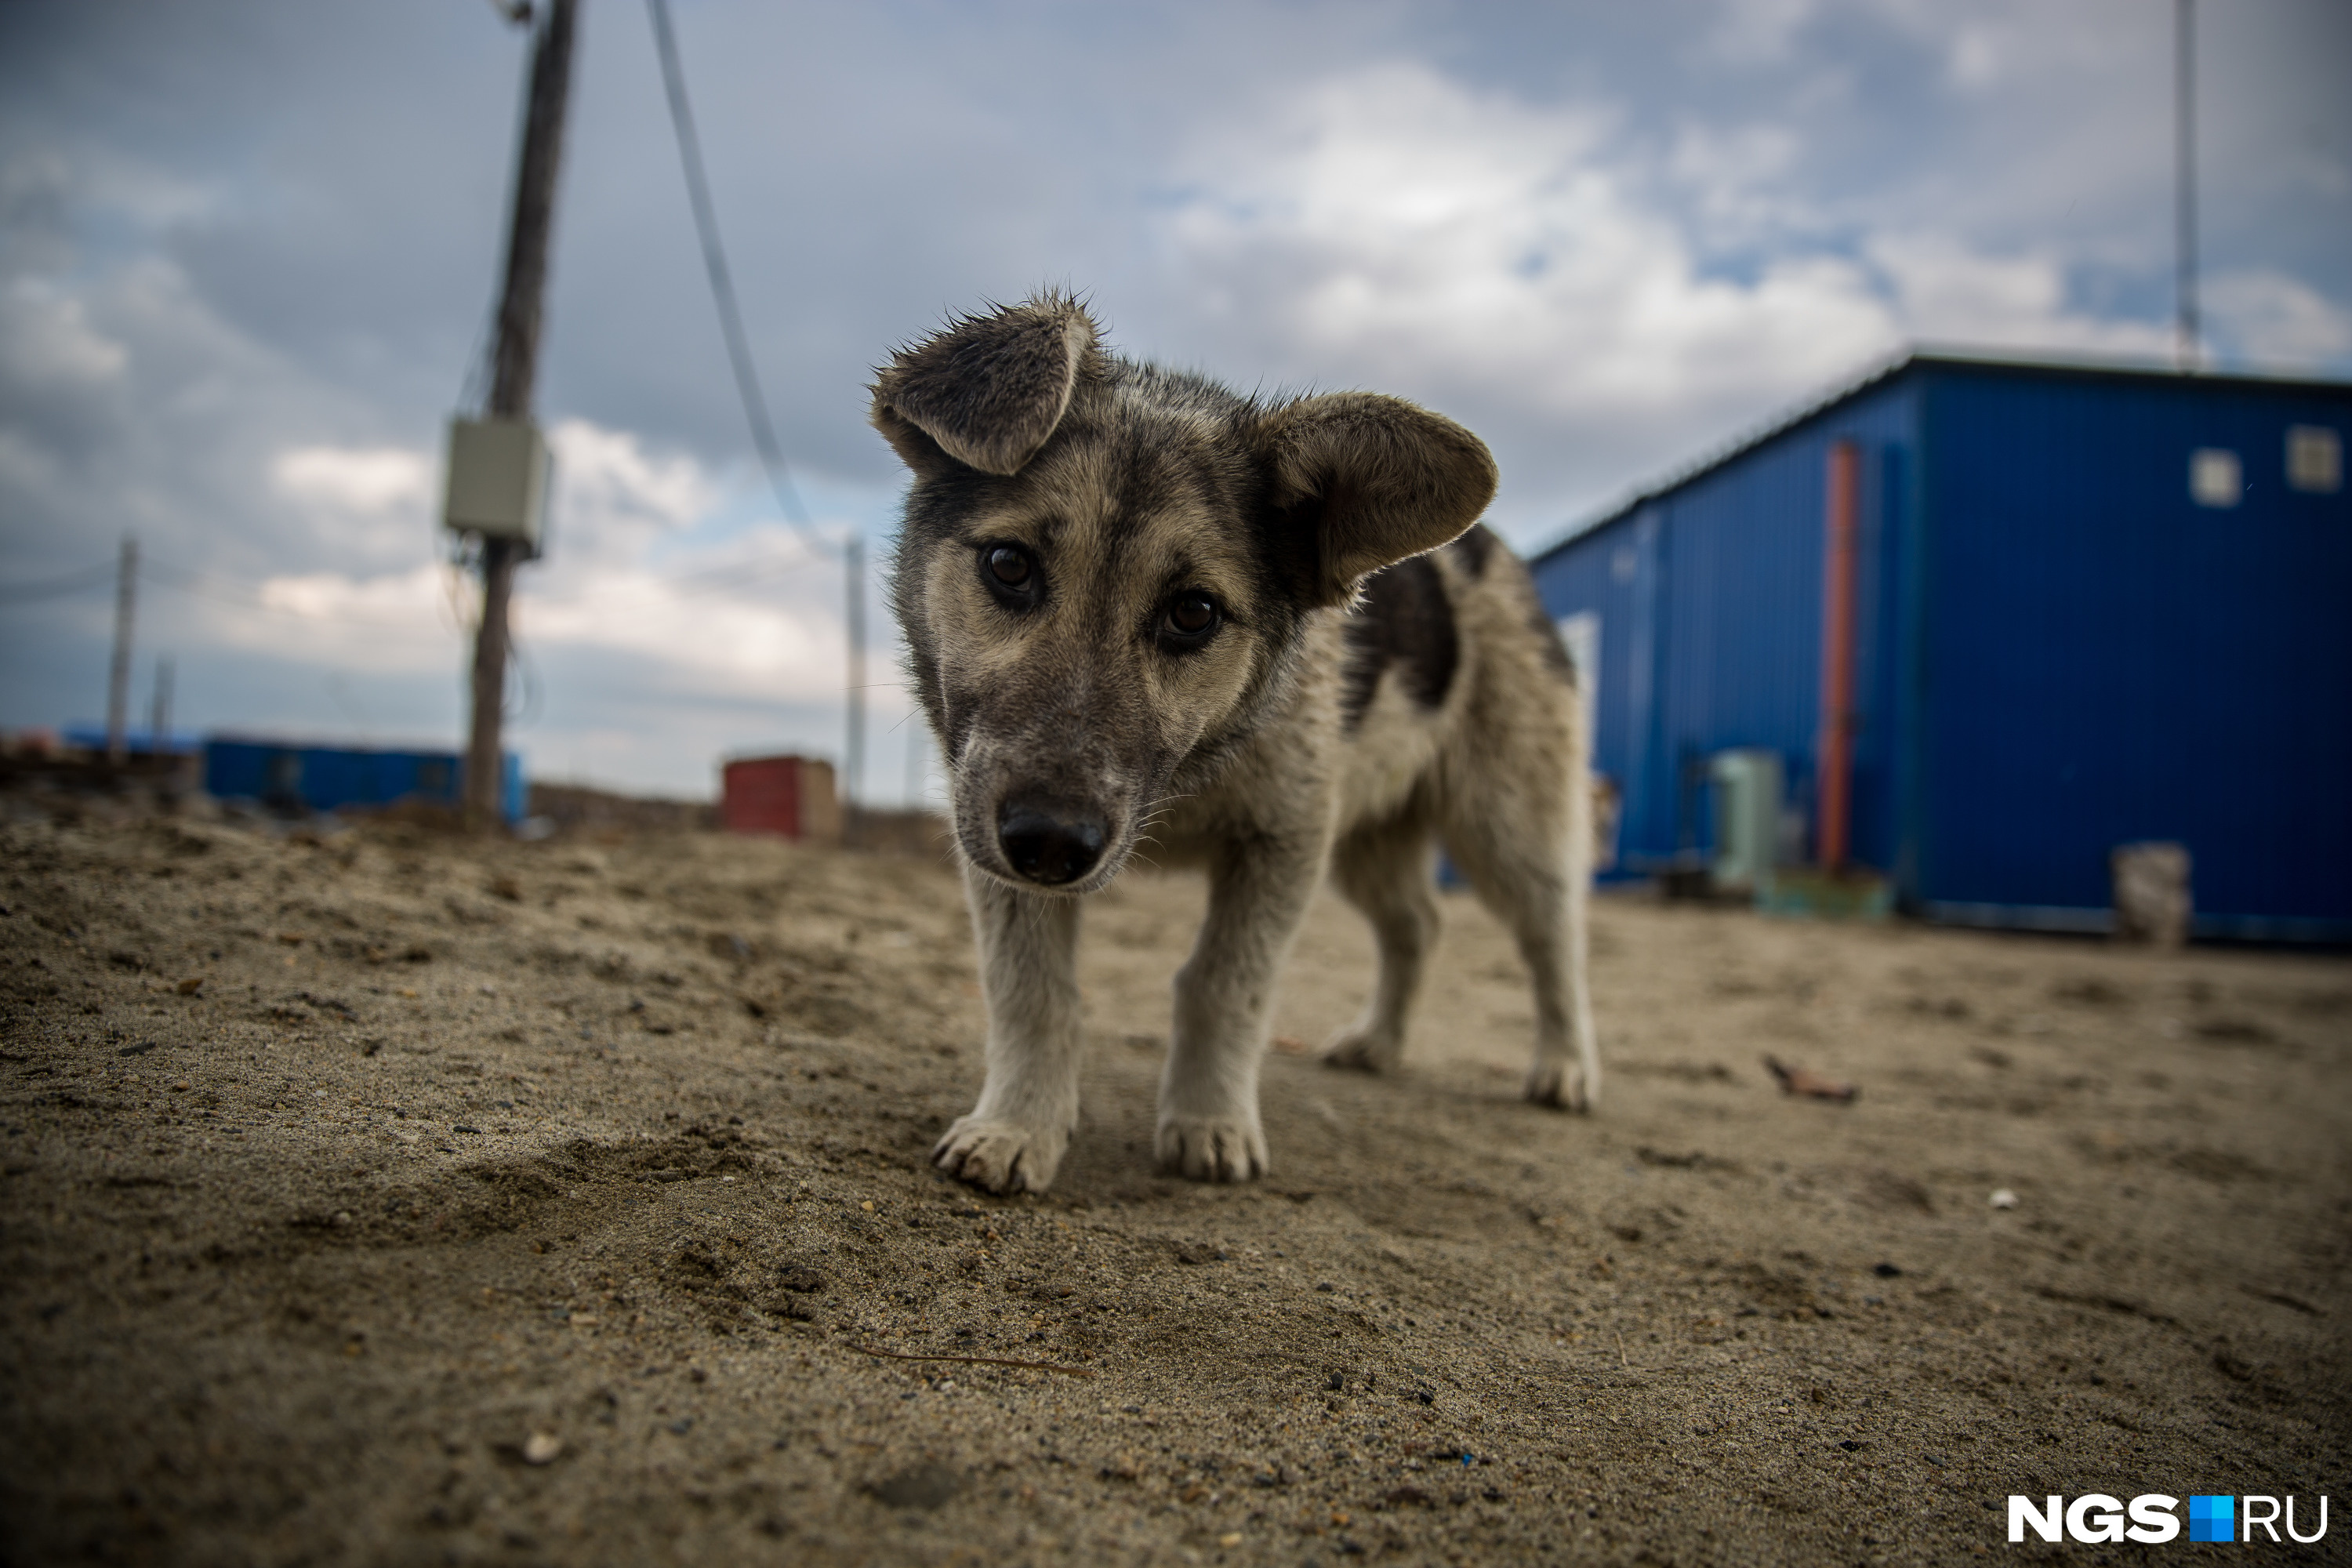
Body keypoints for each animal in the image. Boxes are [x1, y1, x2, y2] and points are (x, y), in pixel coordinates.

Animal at [880, 297, 1599, 1203]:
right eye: (1009, 565)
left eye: (1194, 613)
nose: (1049, 844)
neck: (1193, 775)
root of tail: (1493, 548)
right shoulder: (993, 826)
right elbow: (1030, 987)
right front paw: (1019, 1125)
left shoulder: (1283, 839)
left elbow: (1226, 985)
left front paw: (1208, 1123)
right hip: (1366, 834)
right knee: (1418, 923)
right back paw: (1380, 1042)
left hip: (1506, 821)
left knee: (1554, 933)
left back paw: (1566, 1067)